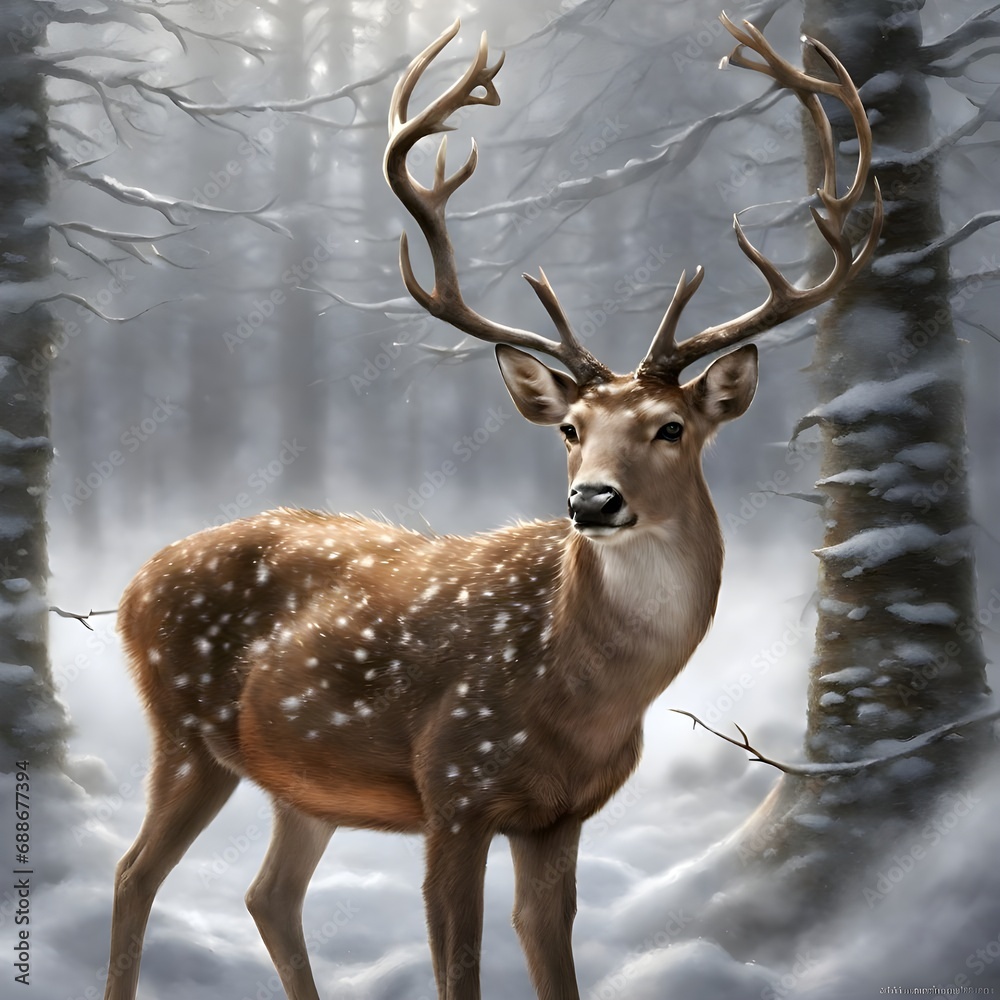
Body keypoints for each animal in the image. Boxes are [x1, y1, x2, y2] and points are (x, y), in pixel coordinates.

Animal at [103, 14, 880, 1000]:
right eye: (571, 429)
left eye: (670, 427)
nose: (592, 499)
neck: (580, 694)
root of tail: (133, 584)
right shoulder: (454, 788)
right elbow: (459, 966)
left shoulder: (559, 816)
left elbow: (552, 958)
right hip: (185, 728)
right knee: (135, 872)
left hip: (297, 777)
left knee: (266, 893)